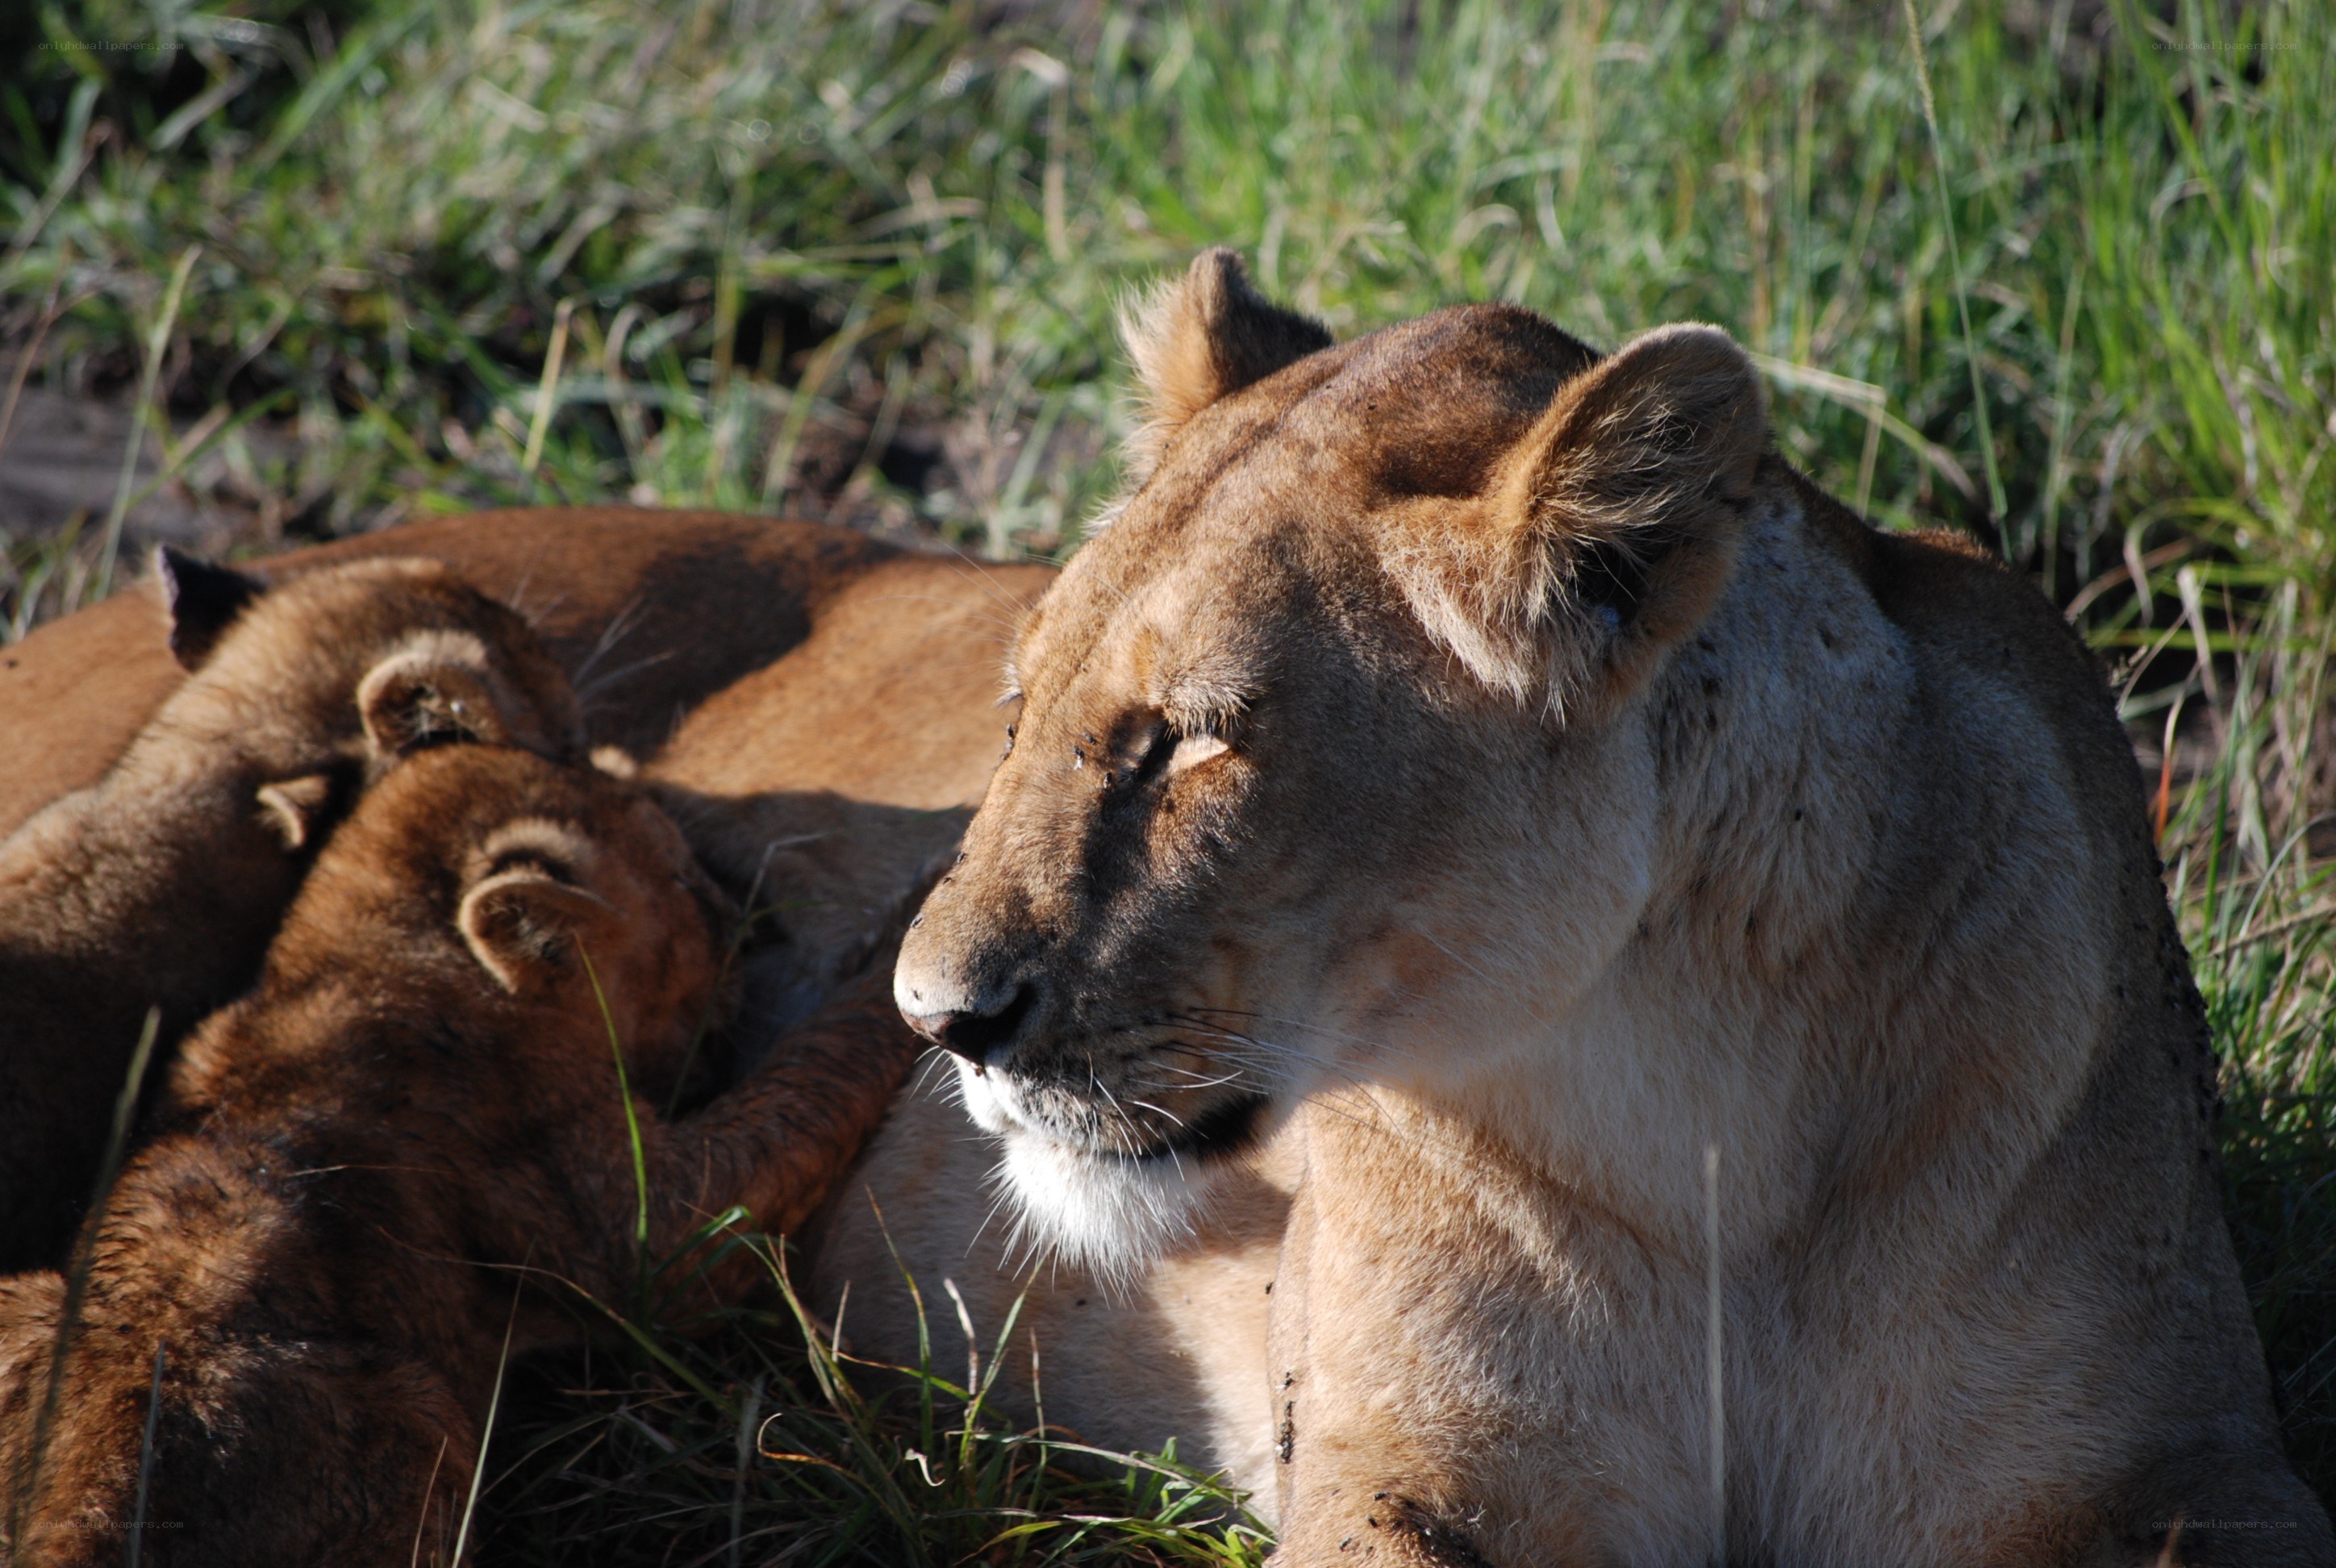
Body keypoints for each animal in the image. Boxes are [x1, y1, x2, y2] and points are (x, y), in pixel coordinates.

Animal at [0, 743, 920, 1567]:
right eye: (690, 890)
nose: (747, 923)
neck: (361, 962)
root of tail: (73, 1509)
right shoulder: (620, 1221)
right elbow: (800, 1087)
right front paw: (903, 944)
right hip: (416, 1413)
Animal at [846, 250, 2332, 1565]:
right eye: (1018, 708)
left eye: (1191, 741)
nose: (932, 1018)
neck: (1708, 1117)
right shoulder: (1394, 1461)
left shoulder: (2193, 1465)